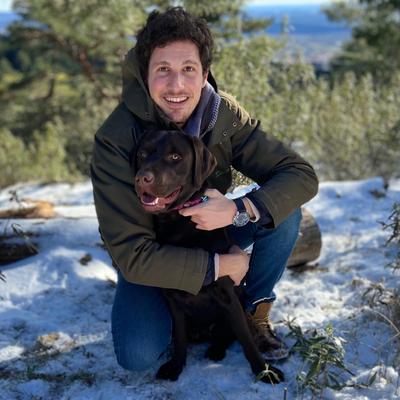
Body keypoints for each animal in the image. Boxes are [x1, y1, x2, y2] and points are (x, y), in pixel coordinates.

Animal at [134, 130, 284, 384]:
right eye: (143, 154)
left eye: (175, 156)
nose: (142, 178)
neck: (180, 224)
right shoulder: (173, 298)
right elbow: (180, 338)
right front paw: (175, 366)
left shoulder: (228, 295)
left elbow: (246, 339)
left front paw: (264, 370)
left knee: (231, 334)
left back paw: (217, 349)